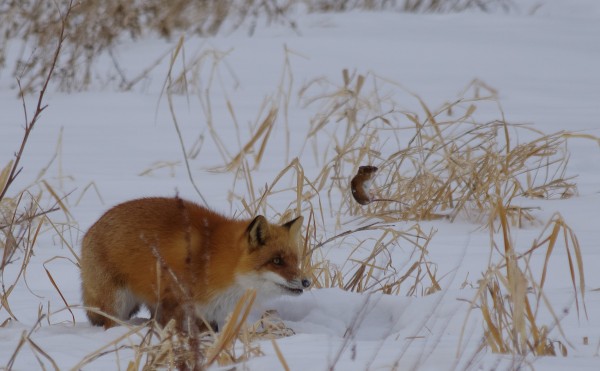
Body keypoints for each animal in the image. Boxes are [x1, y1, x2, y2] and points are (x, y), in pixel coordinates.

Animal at [79, 198, 310, 332]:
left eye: (296, 260)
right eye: (277, 261)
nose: (306, 282)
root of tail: (90, 230)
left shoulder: (208, 312)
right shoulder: (174, 300)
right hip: (117, 303)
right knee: (110, 324)